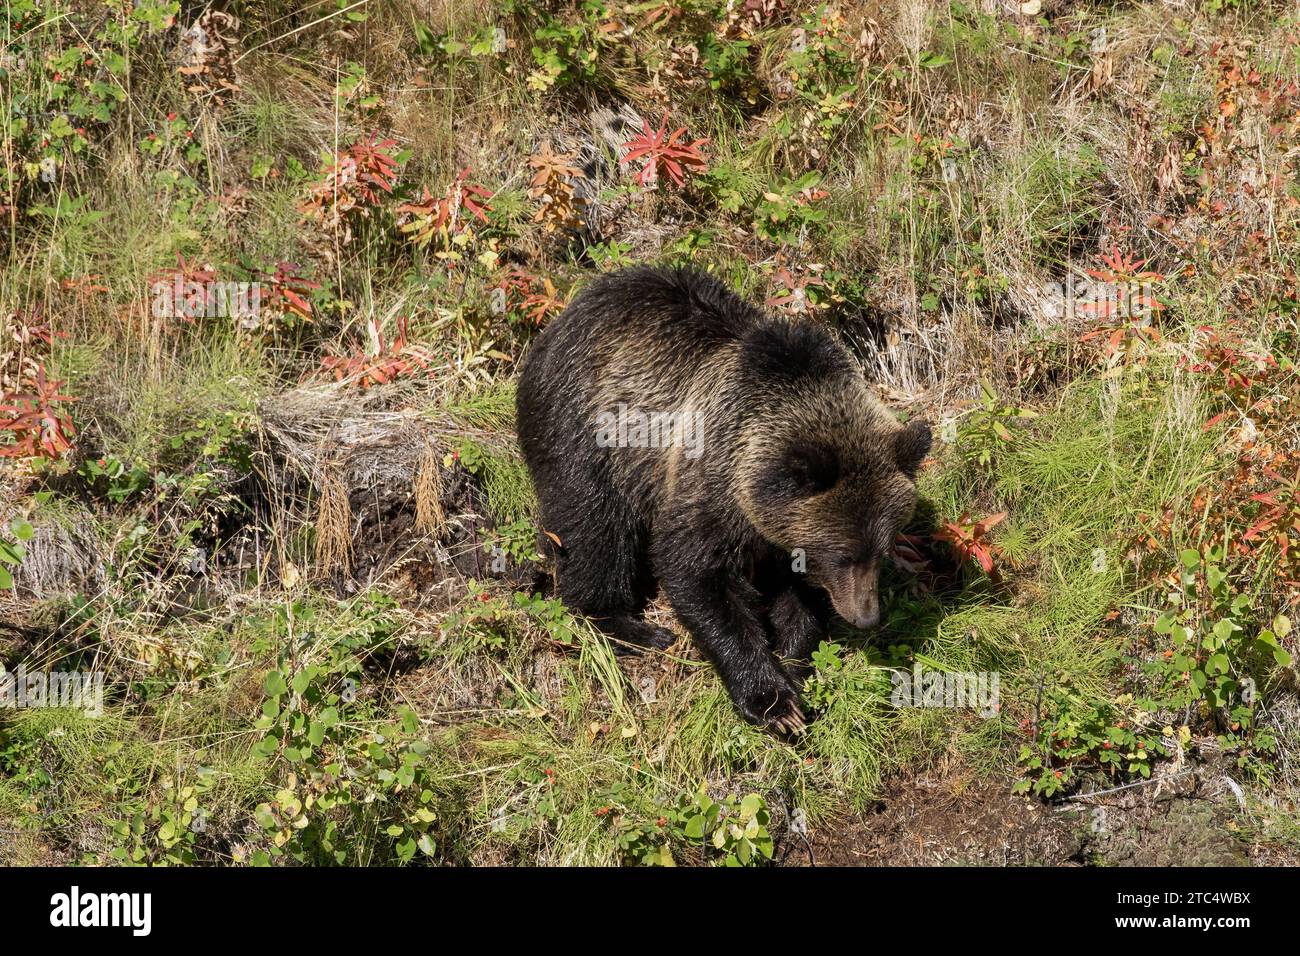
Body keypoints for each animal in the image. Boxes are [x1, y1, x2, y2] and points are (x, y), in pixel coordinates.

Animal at [515, 266, 930, 733]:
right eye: (843, 555)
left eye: (881, 550)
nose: (866, 615)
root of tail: (567, 312)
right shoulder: (711, 482)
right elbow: (697, 572)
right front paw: (773, 703)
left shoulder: (775, 528)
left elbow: (792, 595)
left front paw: (793, 662)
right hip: (584, 425)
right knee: (592, 525)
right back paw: (629, 626)